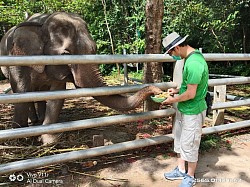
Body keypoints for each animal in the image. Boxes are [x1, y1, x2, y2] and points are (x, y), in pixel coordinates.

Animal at [0, 12, 162, 145]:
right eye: (65, 54)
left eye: (94, 49)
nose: (157, 90)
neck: (43, 22)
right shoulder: (18, 57)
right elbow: (20, 91)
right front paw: (20, 139)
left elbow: (56, 96)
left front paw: (48, 140)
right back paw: (33, 122)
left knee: (40, 92)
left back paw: (39, 120)